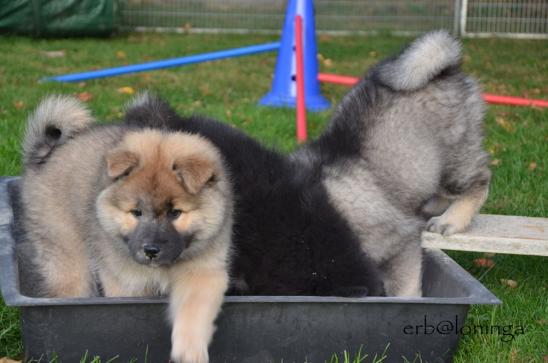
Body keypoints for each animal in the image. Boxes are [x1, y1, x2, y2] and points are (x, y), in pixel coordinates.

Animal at [19, 96, 232, 363]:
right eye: (136, 212)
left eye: (175, 213)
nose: (150, 250)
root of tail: (48, 153)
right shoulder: (128, 283)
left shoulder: (204, 271)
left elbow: (195, 309)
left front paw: (190, 351)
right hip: (67, 257)